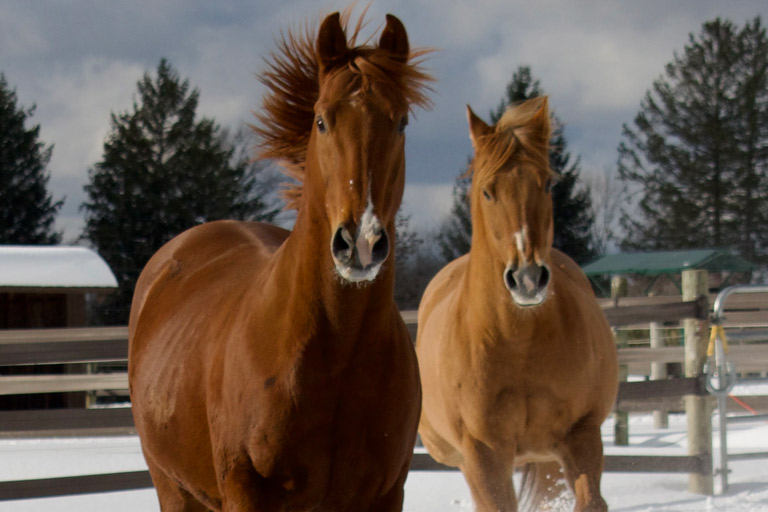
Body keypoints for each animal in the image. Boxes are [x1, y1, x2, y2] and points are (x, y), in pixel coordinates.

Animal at [128, 11, 432, 511]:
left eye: (402, 121)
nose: (359, 242)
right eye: (322, 120)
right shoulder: (246, 491)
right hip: (173, 487)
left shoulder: (387, 493)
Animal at [416, 97, 618, 512]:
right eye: (487, 191)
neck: (517, 343)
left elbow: (591, 501)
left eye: (547, 183)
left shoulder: (582, 433)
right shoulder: (483, 453)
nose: (527, 277)